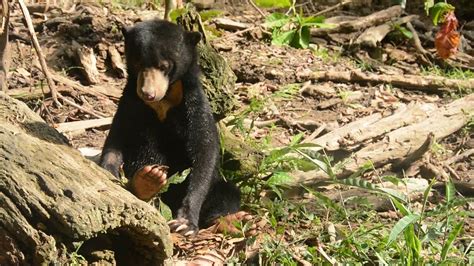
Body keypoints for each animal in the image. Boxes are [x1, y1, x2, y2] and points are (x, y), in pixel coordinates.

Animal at [100, 19, 241, 235]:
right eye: (138, 62)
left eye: (164, 66)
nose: (148, 93)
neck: (164, 102)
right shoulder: (129, 103)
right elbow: (115, 141)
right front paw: (109, 174)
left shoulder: (193, 105)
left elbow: (205, 151)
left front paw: (185, 223)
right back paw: (147, 180)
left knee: (228, 194)